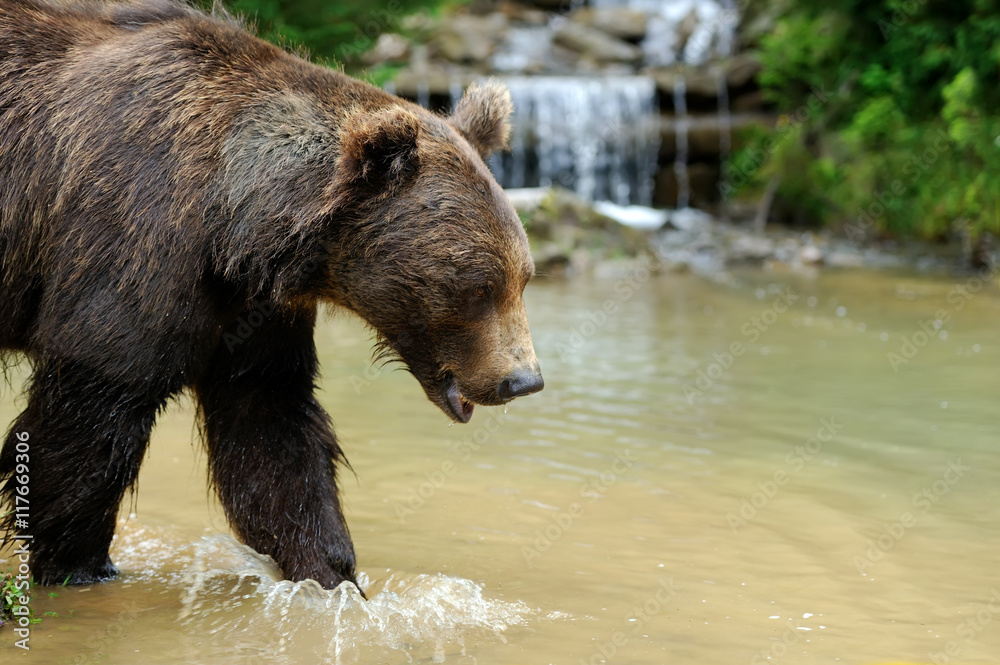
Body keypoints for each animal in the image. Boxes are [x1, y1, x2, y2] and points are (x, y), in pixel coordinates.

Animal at [0, 0, 544, 592]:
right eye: (477, 286)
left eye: (524, 278)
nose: (522, 379)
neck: (233, 226)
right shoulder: (131, 238)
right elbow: (95, 406)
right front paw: (80, 564)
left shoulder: (252, 310)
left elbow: (270, 426)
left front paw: (332, 575)